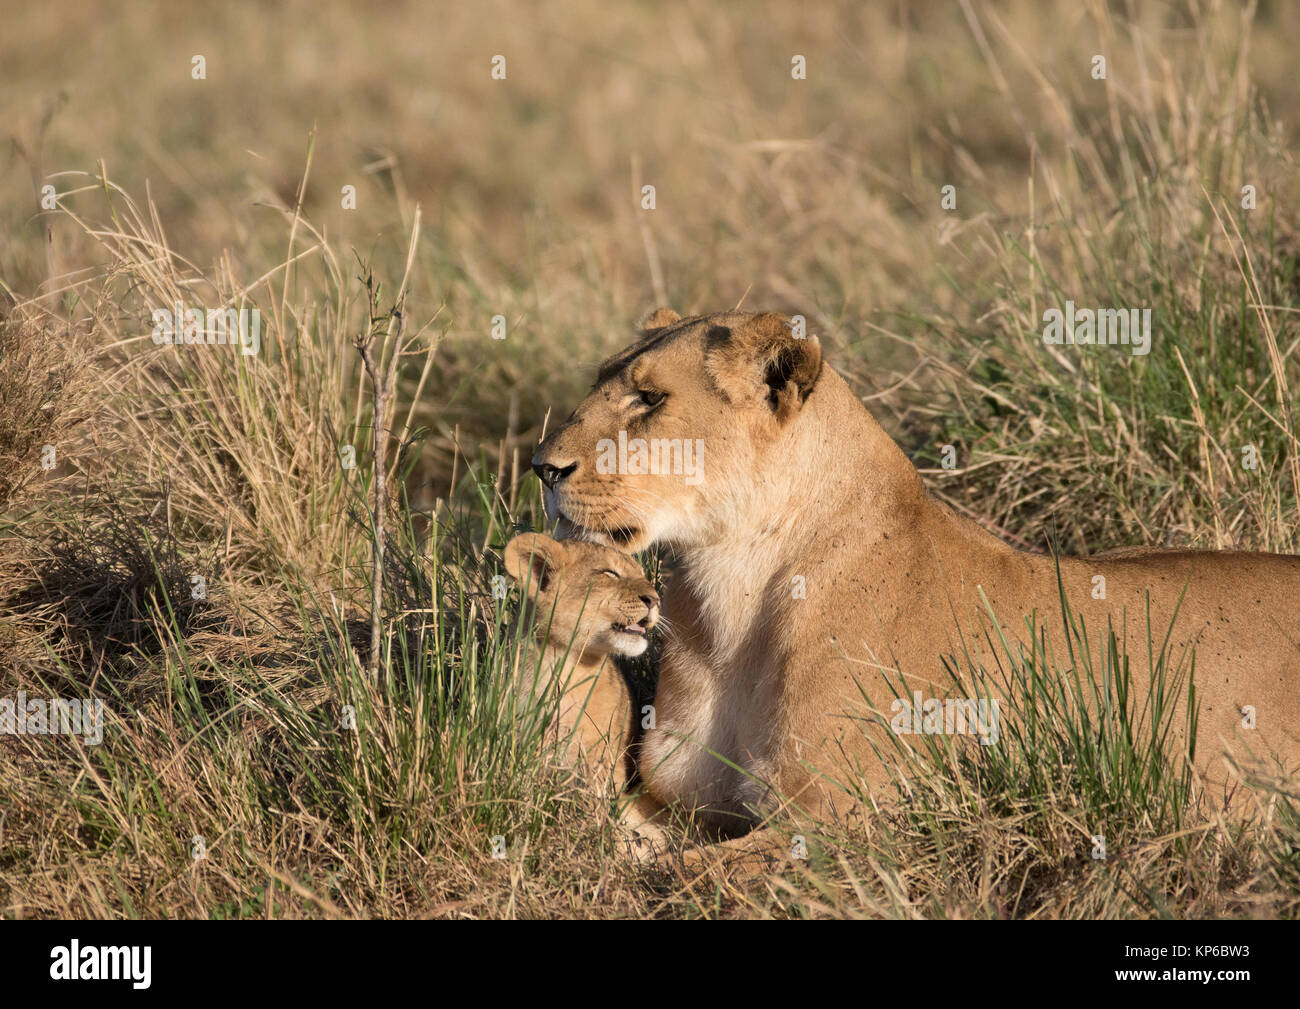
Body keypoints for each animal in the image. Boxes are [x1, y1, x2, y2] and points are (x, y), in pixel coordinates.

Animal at [530, 308, 1300, 858]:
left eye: (648, 398)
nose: (543, 467)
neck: (731, 593)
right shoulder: (679, 800)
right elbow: (606, 832)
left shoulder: (837, 825)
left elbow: (685, 877)